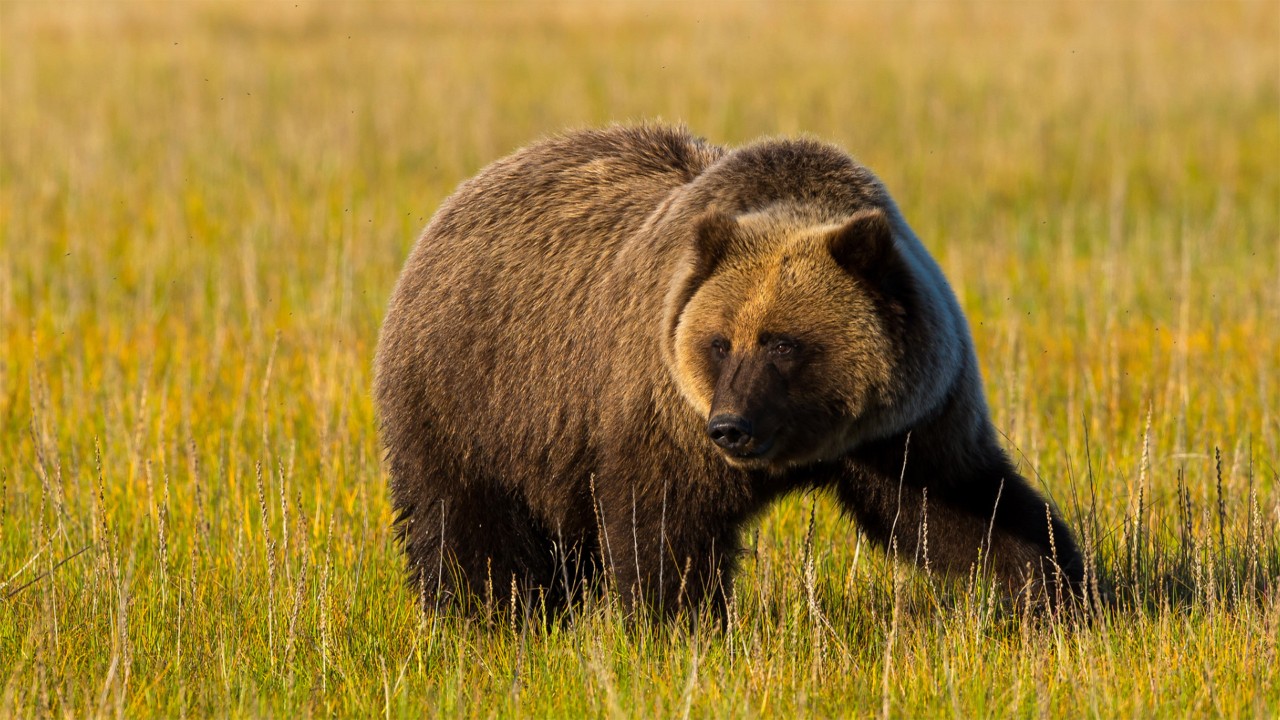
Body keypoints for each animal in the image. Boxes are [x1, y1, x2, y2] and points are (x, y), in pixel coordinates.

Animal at [374, 124, 1083, 618]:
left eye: (783, 343)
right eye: (719, 343)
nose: (731, 427)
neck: (810, 446)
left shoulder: (906, 427)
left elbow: (966, 509)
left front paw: (1058, 592)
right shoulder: (663, 415)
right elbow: (666, 530)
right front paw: (675, 625)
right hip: (477, 395)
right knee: (466, 521)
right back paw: (485, 616)